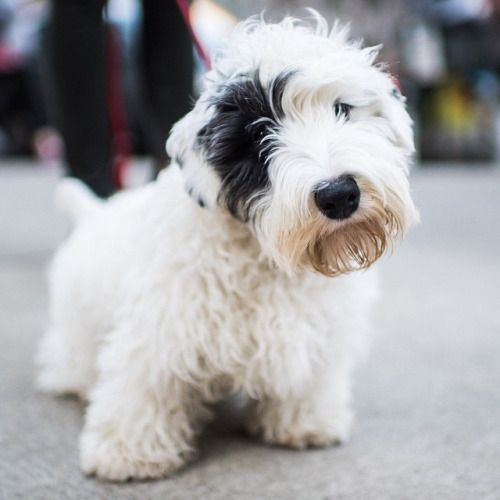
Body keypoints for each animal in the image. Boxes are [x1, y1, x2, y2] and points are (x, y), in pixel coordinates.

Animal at [36, 11, 418, 480]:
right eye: (257, 134)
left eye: (342, 109)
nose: (339, 194)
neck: (263, 255)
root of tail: (92, 212)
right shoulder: (159, 329)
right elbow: (144, 385)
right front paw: (128, 450)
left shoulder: (314, 330)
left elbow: (310, 377)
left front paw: (305, 421)